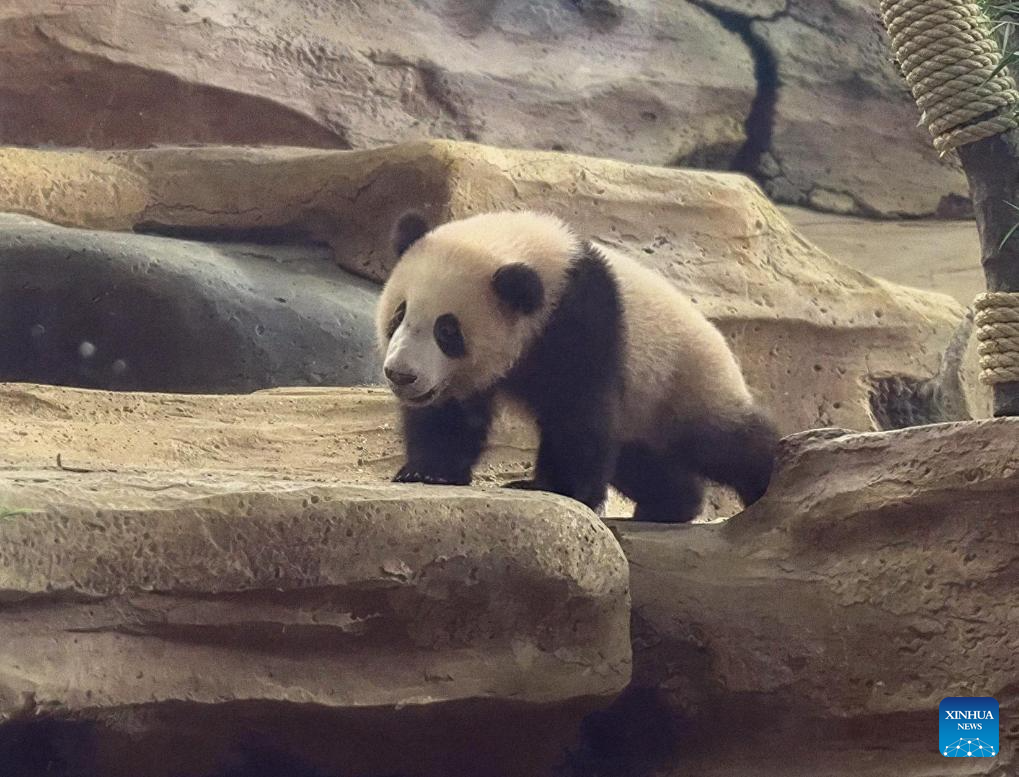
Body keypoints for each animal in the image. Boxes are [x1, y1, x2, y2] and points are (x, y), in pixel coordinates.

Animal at [376, 210, 778, 522]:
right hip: (642, 414)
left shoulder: (581, 319)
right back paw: (671, 505)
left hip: (683, 382)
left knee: (725, 443)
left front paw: (555, 488)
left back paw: (770, 479)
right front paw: (428, 471)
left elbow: (576, 409)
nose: (401, 375)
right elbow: (451, 415)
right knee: (641, 461)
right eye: (399, 314)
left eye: (447, 330)